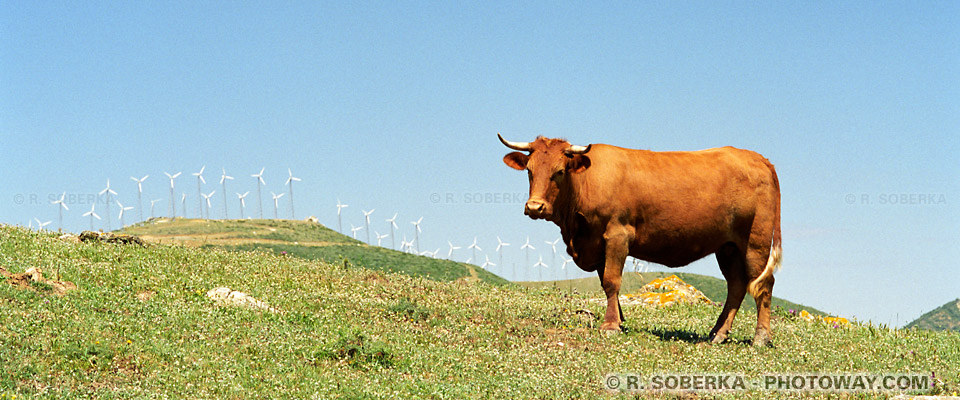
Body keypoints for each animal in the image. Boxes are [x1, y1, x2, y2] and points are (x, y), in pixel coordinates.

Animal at [498, 133, 784, 346]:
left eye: (559, 171)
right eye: (529, 171)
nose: (535, 207)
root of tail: (759, 158)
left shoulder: (617, 235)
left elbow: (612, 281)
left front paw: (610, 325)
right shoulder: (597, 243)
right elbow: (605, 282)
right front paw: (620, 320)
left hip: (755, 241)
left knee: (763, 283)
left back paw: (761, 337)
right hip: (727, 247)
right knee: (736, 285)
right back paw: (718, 334)